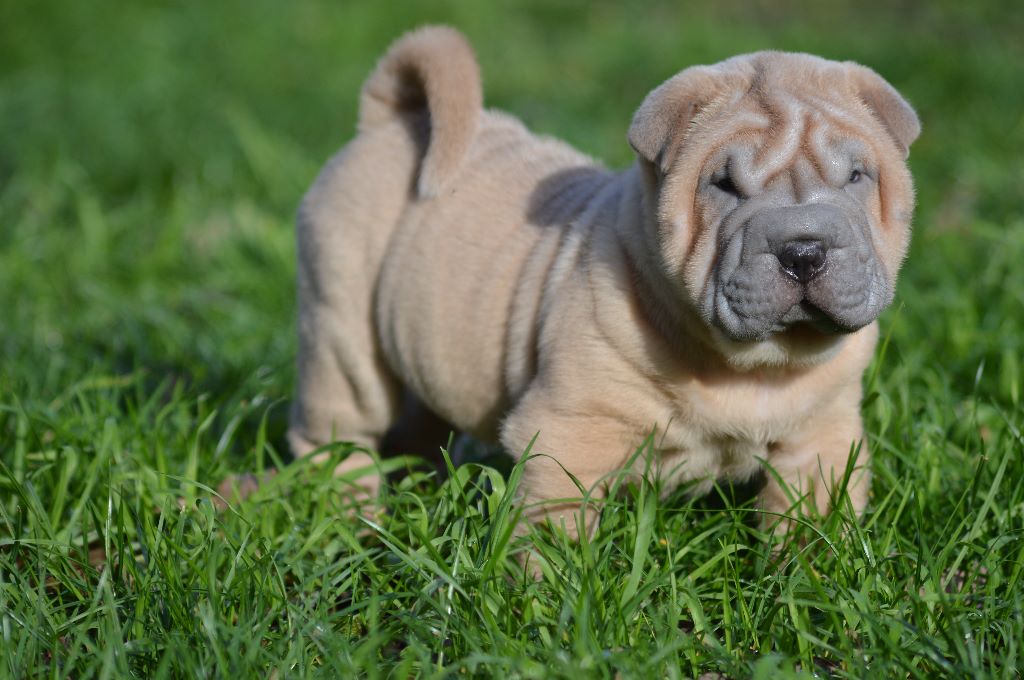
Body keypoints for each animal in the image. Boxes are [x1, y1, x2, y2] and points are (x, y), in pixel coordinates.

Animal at [288, 25, 919, 534]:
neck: (754, 368)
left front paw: (806, 586)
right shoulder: (567, 434)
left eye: (856, 177)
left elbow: (813, 519)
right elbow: (554, 528)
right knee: (336, 434)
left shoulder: (821, 439)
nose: (803, 250)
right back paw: (350, 518)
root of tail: (390, 123)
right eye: (724, 186)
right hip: (342, 330)